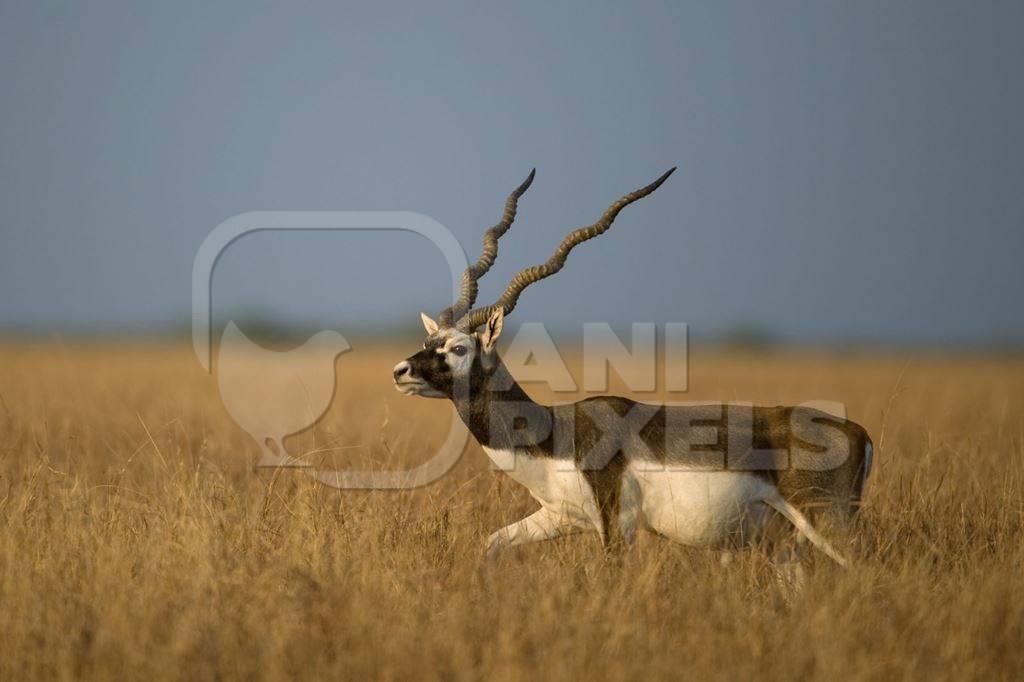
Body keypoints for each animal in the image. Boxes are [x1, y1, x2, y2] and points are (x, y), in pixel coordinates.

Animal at [391, 168, 872, 561]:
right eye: (429, 340)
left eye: (459, 349)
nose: (400, 372)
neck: (555, 435)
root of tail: (860, 434)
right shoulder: (559, 518)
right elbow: (490, 544)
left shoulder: (615, 525)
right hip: (789, 544)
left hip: (826, 525)